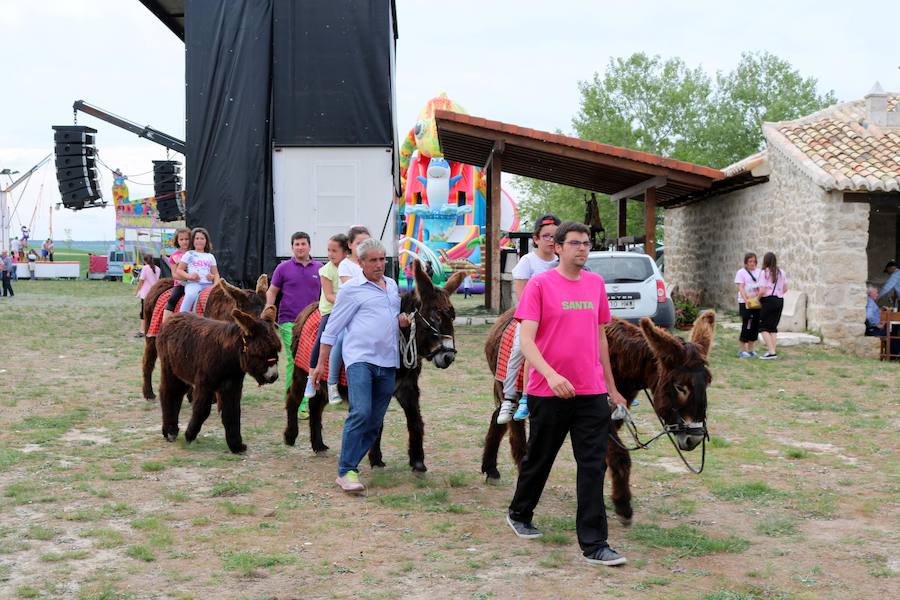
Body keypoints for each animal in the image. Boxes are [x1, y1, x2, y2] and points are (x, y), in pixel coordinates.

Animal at [156, 308, 282, 452]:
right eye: (261, 352)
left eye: (276, 350)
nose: (274, 377)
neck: (227, 357)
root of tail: (173, 317)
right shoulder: (205, 384)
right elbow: (202, 410)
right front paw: (189, 436)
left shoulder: (232, 387)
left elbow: (232, 413)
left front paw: (236, 446)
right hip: (170, 369)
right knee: (168, 392)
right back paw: (170, 432)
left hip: (182, 371)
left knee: (177, 394)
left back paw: (172, 430)